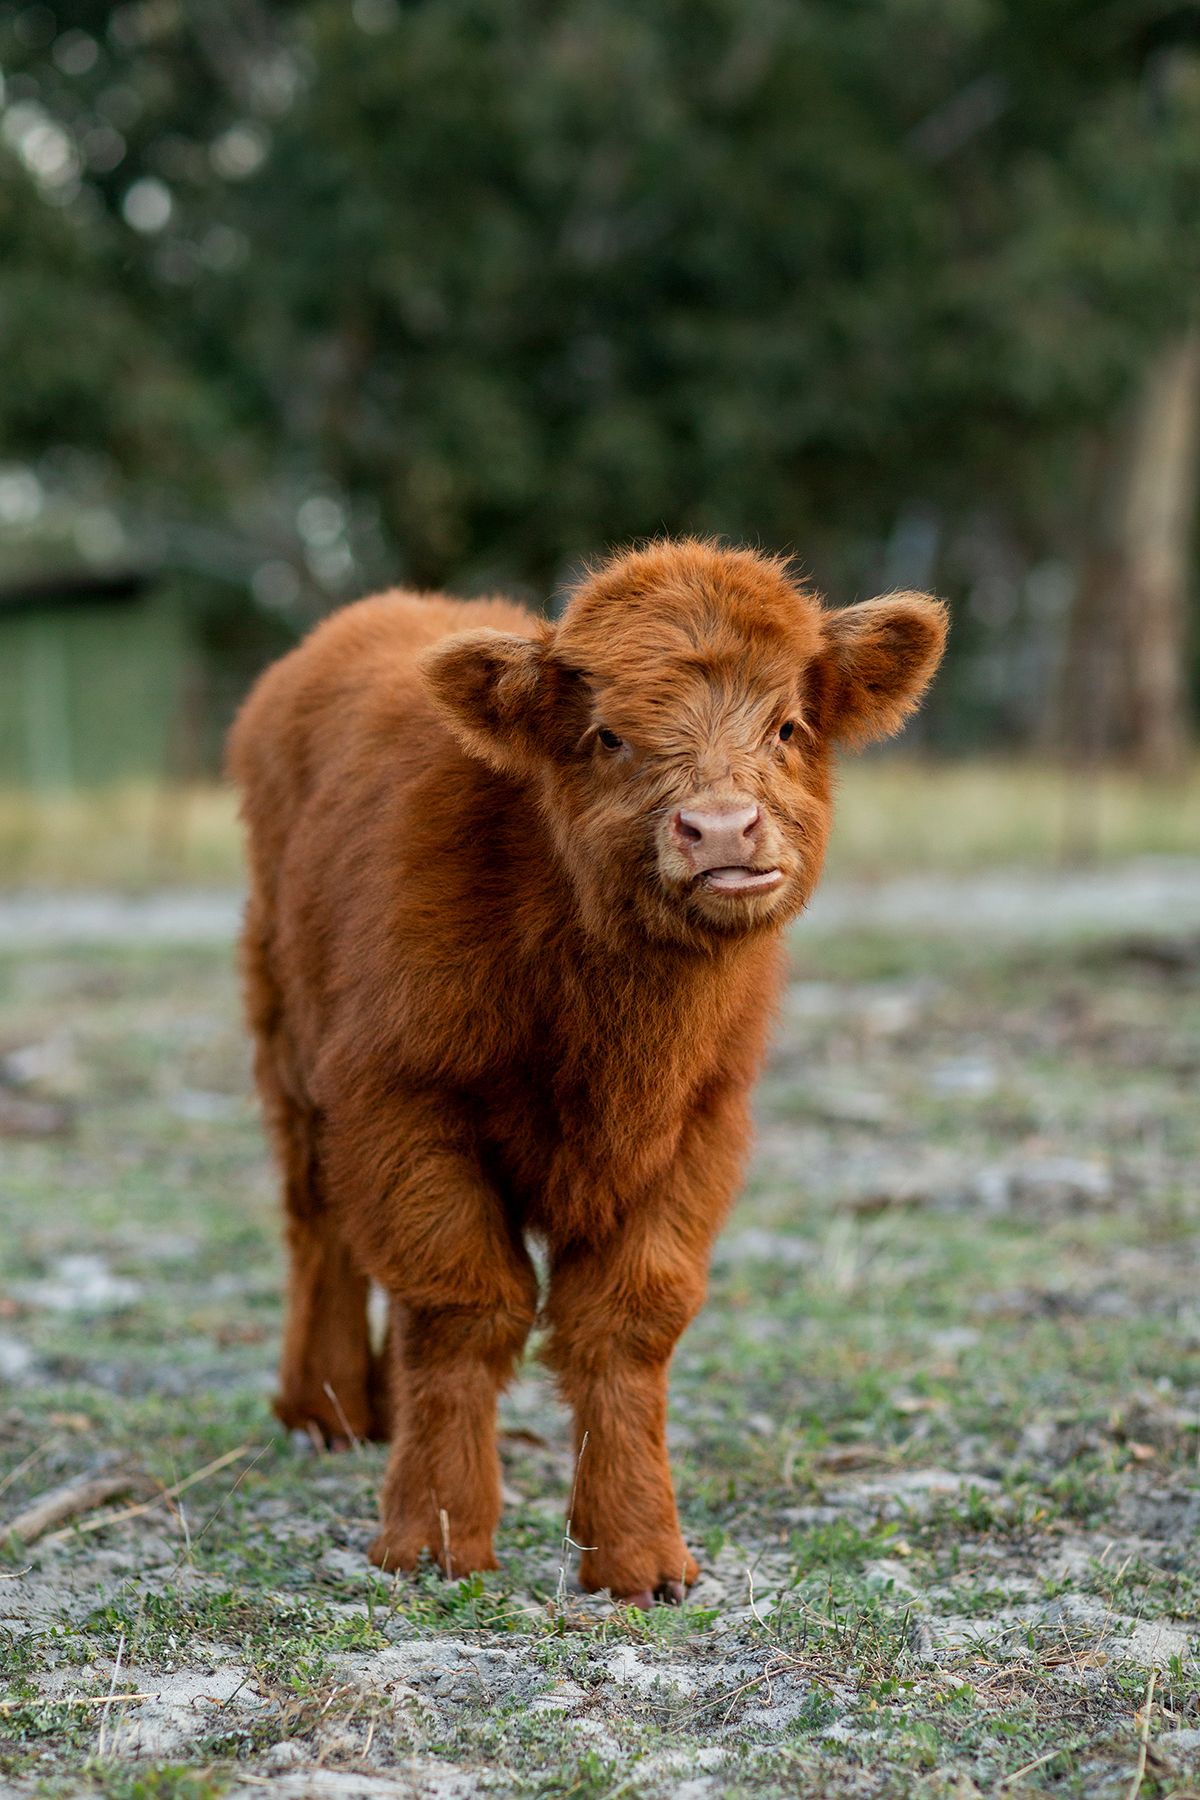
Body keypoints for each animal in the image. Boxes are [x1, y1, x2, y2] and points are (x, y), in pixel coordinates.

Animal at [227, 538, 946, 1608]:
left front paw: (638, 1551)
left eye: (788, 725)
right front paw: (434, 1534)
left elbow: (626, 1325)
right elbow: (462, 1306)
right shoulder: (401, 1099)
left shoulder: (701, 1126)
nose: (721, 828)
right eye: (610, 736)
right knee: (317, 1224)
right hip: (290, 1044)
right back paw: (326, 1407)